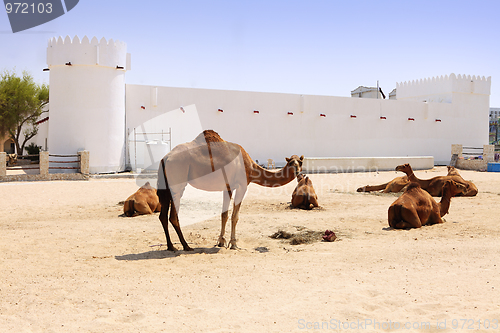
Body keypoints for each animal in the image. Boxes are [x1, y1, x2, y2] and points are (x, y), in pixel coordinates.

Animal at [158, 129, 302, 249]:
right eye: (291, 162)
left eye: (300, 162)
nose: (297, 170)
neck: (250, 167)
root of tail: (165, 158)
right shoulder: (242, 186)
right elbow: (235, 216)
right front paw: (233, 243)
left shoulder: (228, 187)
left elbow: (224, 214)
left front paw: (221, 242)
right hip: (177, 181)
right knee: (173, 216)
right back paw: (186, 246)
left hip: (166, 186)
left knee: (163, 216)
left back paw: (171, 246)